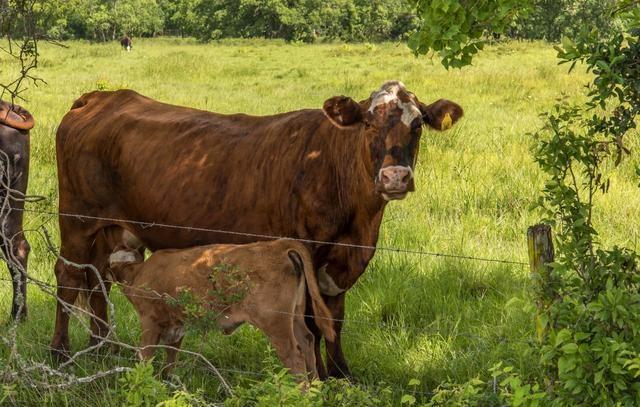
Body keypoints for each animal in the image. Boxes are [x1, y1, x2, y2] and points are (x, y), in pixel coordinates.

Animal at [105, 236, 336, 380]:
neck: (139, 273)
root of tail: (278, 245)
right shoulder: (177, 325)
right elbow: (170, 359)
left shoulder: (149, 321)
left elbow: (145, 356)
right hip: (296, 313)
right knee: (307, 340)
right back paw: (315, 389)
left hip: (275, 322)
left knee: (293, 354)